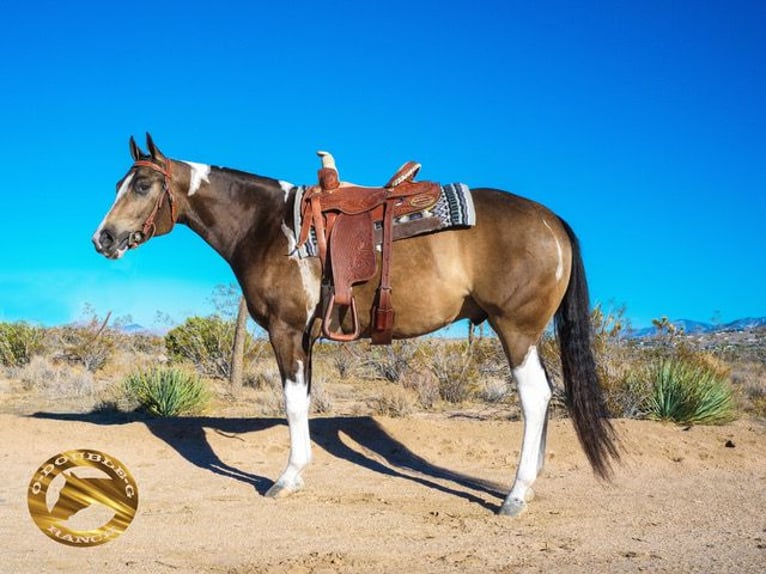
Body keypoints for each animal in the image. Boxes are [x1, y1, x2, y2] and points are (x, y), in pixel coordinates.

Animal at [92, 134, 619, 516]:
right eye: (117, 184)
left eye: (142, 186)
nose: (104, 238)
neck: (267, 226)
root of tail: (552, 220)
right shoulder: (305, 337)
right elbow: (302, 402)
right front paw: (299, 471)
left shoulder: (285, 331)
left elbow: (291, 403)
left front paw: (286, 478)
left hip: (517, 330)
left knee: (535, 396)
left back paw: (515, 494)